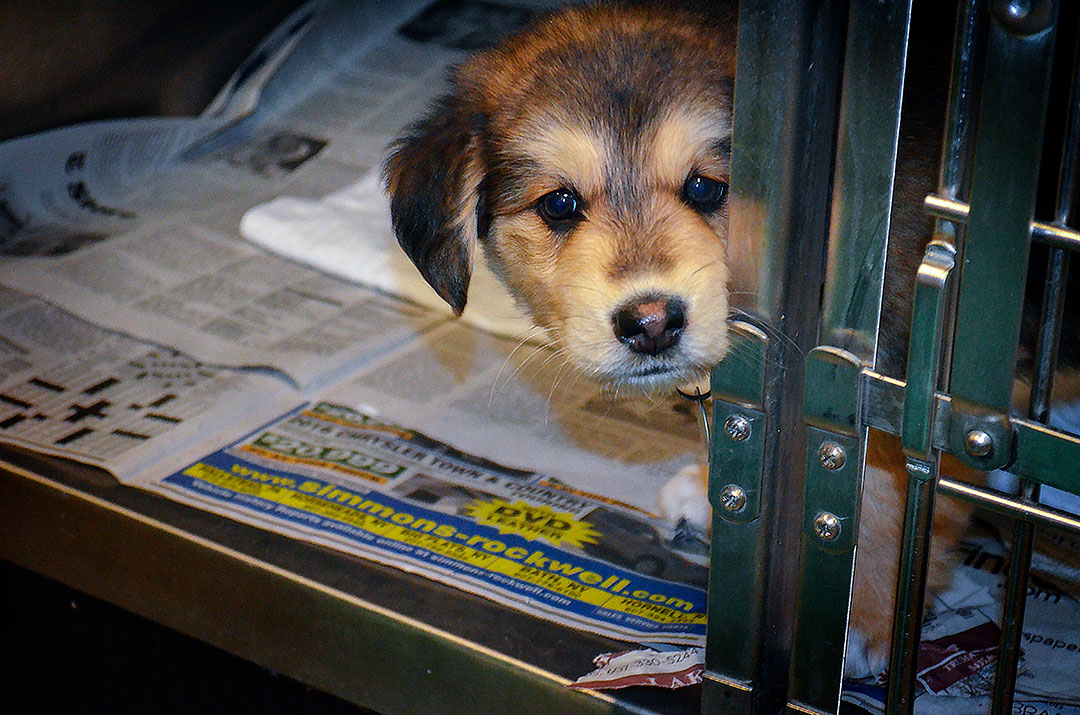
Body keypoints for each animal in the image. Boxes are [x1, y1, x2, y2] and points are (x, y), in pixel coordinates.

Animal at [384, 0, 1067, 682]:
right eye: (558, 204)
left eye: (705, 188)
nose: (651, 324)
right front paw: (713, 493)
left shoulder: (909, 384)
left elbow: (875, 489)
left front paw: (857, 617)